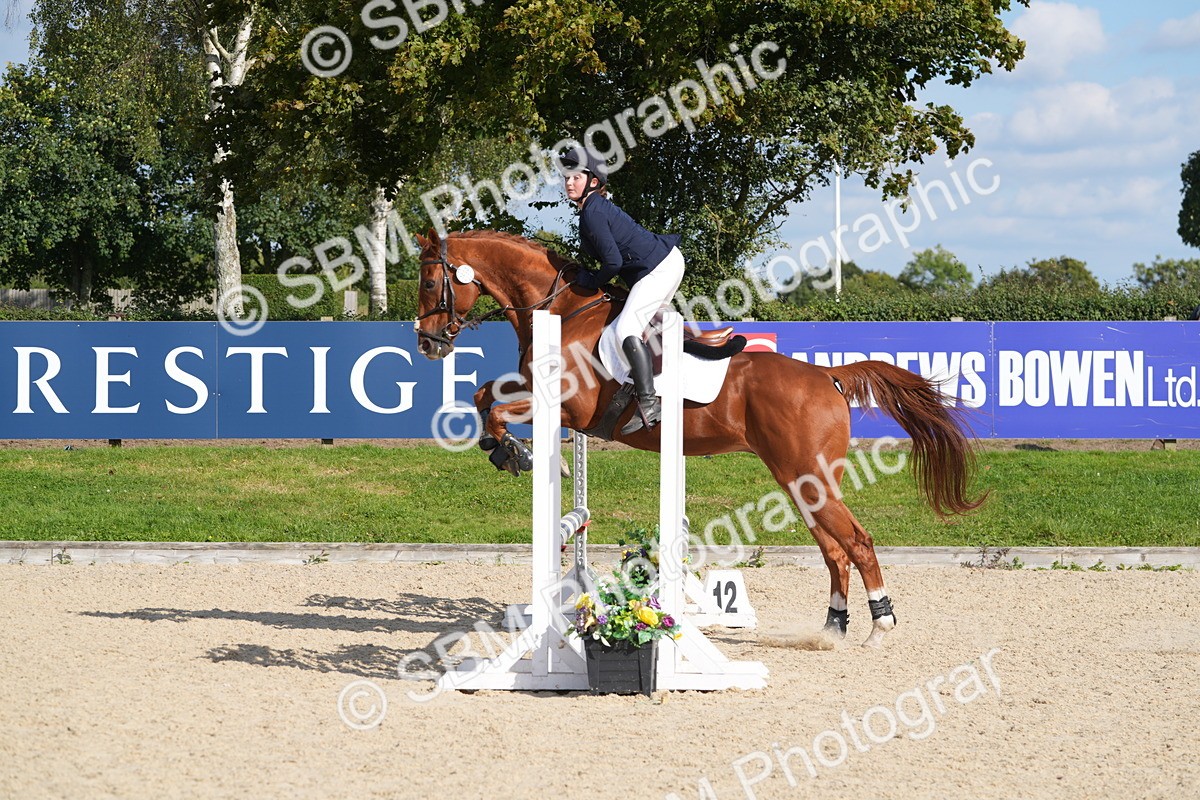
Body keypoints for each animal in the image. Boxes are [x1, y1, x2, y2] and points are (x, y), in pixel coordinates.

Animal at [414, 228, 985, 648]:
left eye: (428, 281)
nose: (427, 343)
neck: (561, 311)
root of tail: (827, 376)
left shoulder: (566, 405)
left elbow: (497, 408)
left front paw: (516, 452)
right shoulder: (534, 391)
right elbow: (484, 394)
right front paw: (506, 451)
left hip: (808, 474)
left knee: (857, 542)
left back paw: (879, 625)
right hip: (801, 481)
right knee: (833, 548)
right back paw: (831, 628)